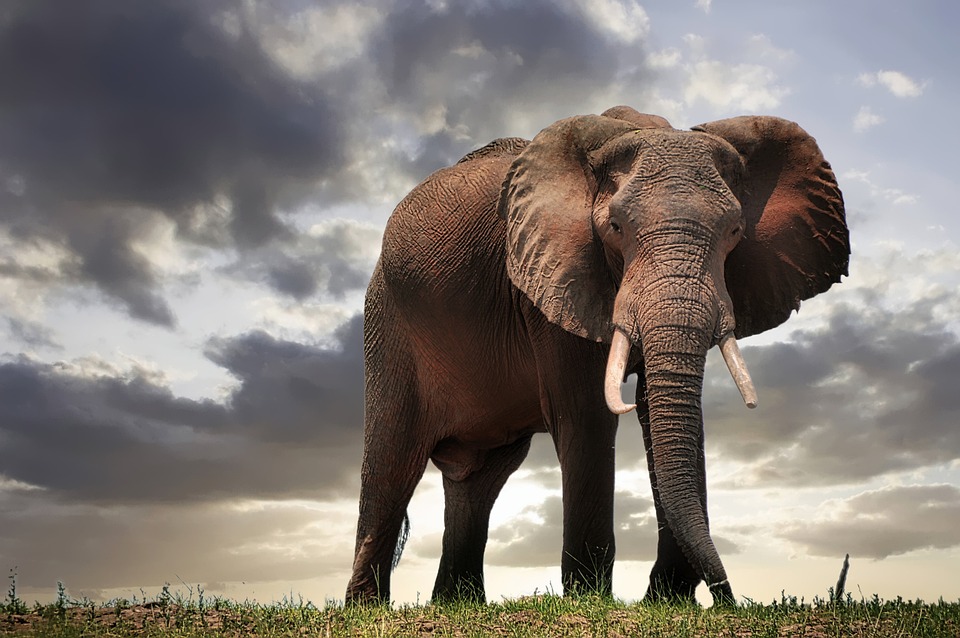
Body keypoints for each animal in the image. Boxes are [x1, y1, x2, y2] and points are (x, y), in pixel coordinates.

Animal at [344, 107, 848, 608]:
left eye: (735, 231)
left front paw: (666, 600)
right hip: (388, 322)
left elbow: (655, 411)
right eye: (615, 228)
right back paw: (368, 606)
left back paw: (457, 604)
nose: (726, 599)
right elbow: (587, 412)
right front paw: (590, 598)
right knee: (393, 461)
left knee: (481, 478)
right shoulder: (551, 274)